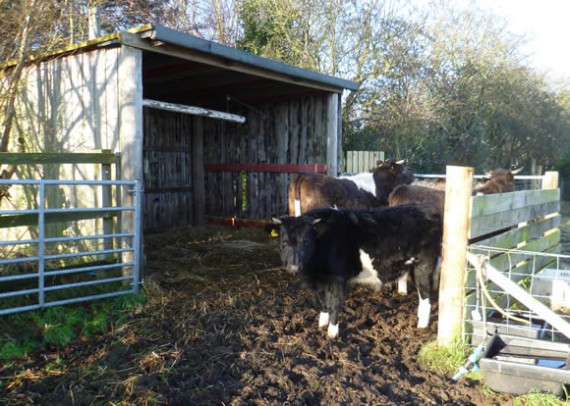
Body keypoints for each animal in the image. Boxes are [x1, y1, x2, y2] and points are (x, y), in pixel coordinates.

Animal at [272, 205, 442, 338]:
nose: (294, 267)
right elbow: (323, 302)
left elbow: (334, 303)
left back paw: (422, 326)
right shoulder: (318, 282)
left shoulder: (337, 278)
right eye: (284, 242)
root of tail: (428, 211)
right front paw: (322, 325)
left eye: (306, 241)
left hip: (424, 266)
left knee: (426, 295)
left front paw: (332, 333)